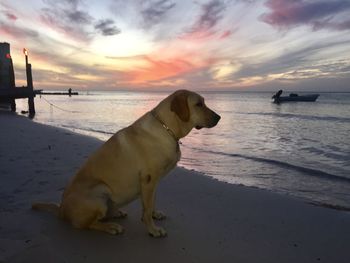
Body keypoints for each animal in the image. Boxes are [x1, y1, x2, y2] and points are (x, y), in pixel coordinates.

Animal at [31, 89, 220, 238]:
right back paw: (110, 227)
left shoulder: (152, 182)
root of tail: (61, 210)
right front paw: (153, 229)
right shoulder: (149, 179)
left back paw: (116, 213)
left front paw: (155, 214)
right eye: (198, 104)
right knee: (87, 224)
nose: (219, 117)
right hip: (99, 194)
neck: (166, 128)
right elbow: (146, 209)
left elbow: (151, 203)